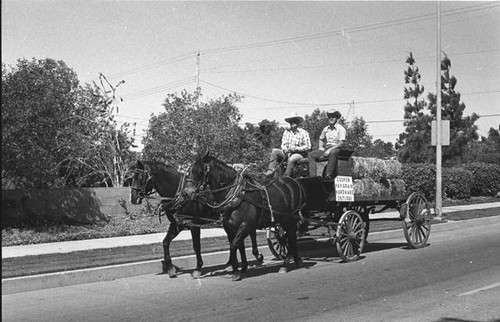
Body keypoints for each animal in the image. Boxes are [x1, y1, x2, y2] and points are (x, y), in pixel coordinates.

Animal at [129, 161, 264, 280]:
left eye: (140, 176)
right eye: (131, 178)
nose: (133, 198)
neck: (178, 193)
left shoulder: (194, 224)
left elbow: (196, 246)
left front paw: (198, 268)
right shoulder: (176, 224)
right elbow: (165, 242)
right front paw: (170, 268)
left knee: (249, 233)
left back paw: (255, 256)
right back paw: (233, 262)